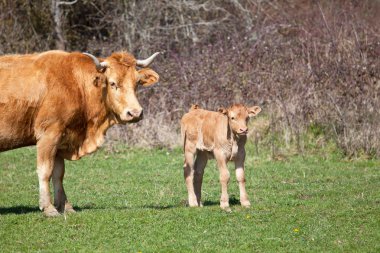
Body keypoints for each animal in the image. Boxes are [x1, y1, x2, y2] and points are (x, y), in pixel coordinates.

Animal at [0, 50, 160, 216]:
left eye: (137, 83)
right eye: (113, 83)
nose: (135, 113)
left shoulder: (61, 139)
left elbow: (58, 174)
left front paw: (65, 207)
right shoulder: (48, 134)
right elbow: (45, 171)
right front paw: (49, 208)